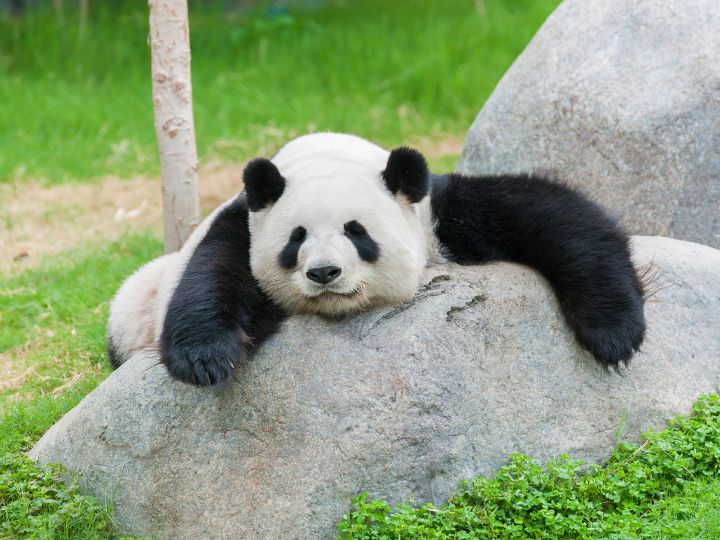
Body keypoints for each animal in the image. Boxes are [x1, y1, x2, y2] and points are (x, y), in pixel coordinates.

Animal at [108, 133, 648, 386]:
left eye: (357, 232)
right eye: (296, 239)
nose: (324, 272)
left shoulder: (437, 212)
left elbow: (552, 215)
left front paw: (613, 333)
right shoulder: (242, 221)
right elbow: (212, 273)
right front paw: (206, 358)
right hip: (133, 307)